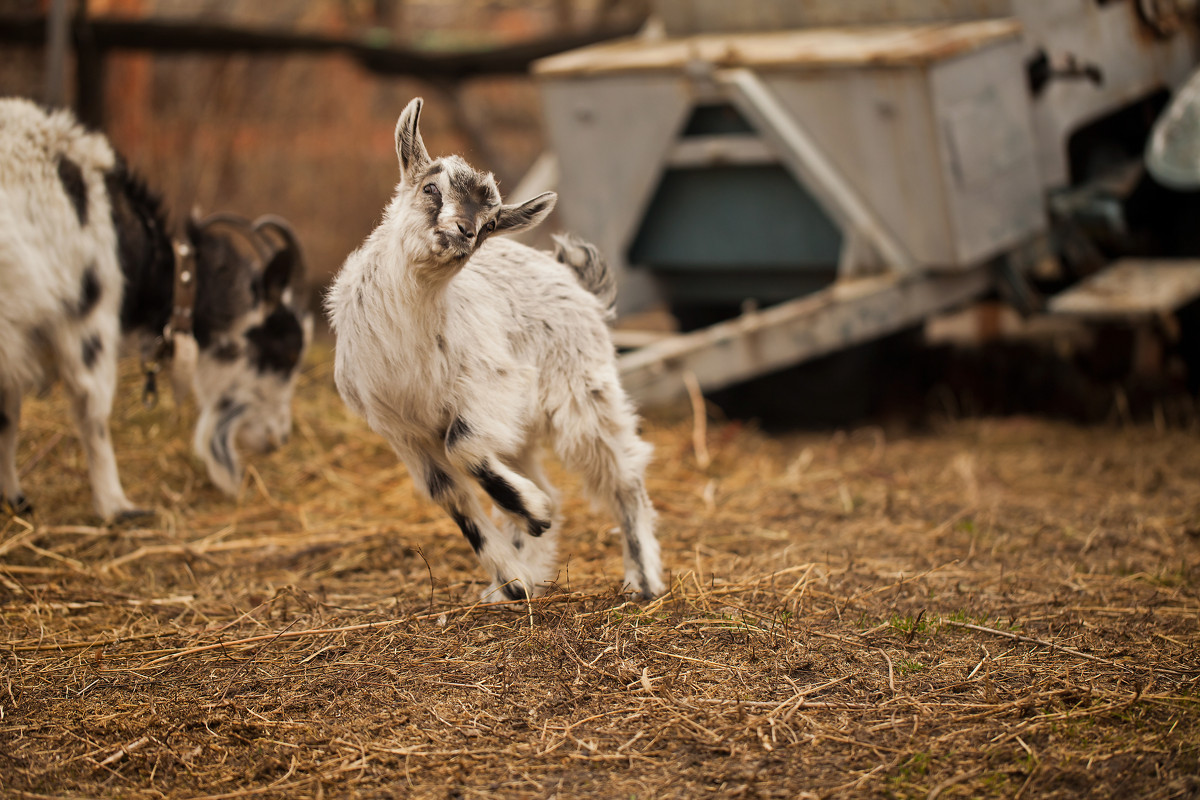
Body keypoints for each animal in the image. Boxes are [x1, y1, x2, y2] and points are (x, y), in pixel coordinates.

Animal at [1, 98, 309, 520]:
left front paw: (13, 497)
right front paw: (117, 506)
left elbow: (8, 414)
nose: (280, 438)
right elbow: (92, 409)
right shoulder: (88, 321)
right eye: (286, 352)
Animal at [328, 98, 667, 599]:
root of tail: (574, 281)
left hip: (583, 393)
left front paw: (532, 515)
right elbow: (450, 496)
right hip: (519, 430)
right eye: (431, 187)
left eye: (491, 223)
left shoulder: (489, 389)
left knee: (624, 475)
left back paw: (642, 578)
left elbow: (463, 449)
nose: (465, 230)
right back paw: (527, 566)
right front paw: (512, 580)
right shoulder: (401, 430)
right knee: (551, 483)